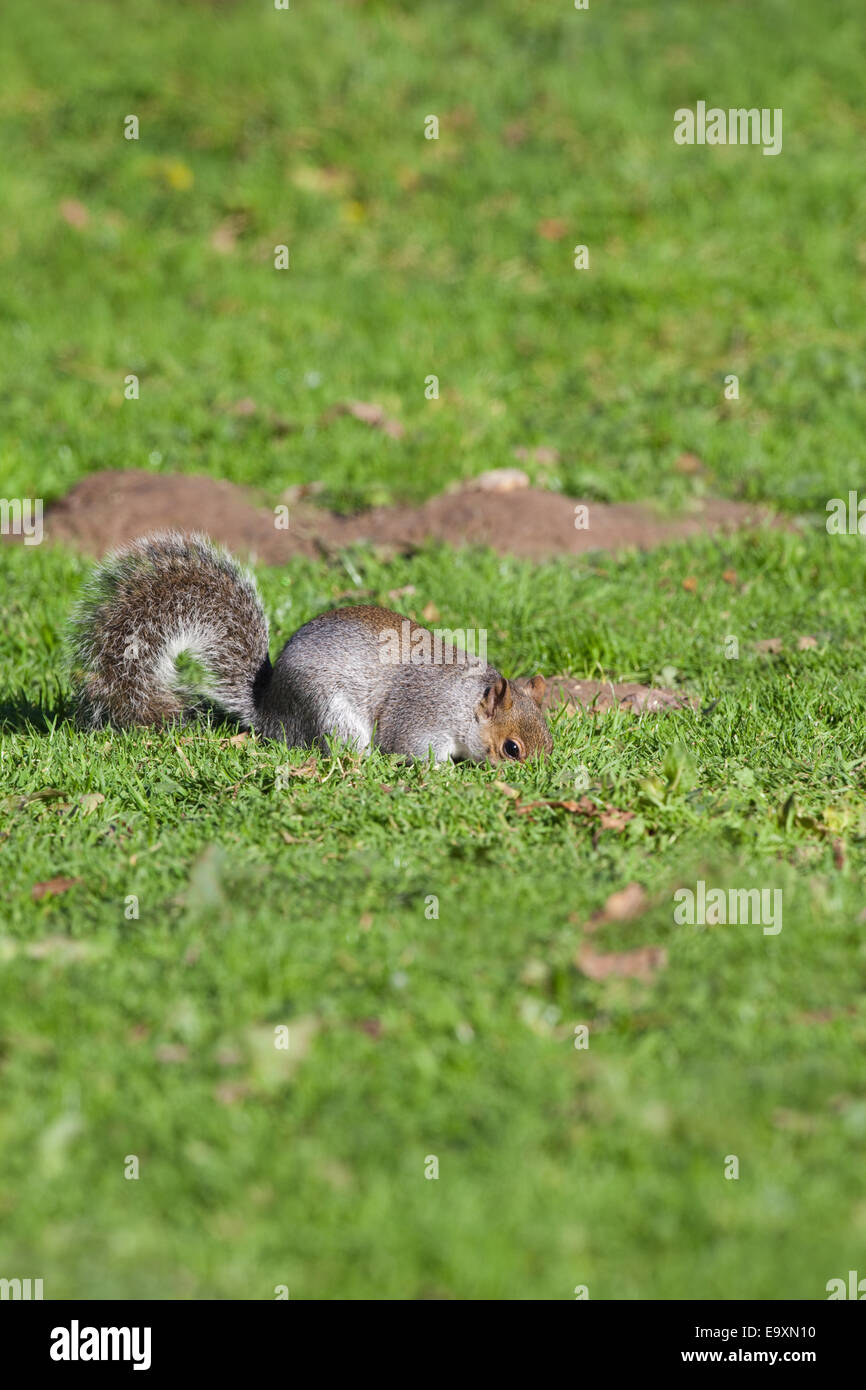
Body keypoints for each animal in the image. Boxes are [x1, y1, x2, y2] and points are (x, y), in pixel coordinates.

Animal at [69, 532, 553, 765]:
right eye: (512, 749)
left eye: (550, 741)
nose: (537, 780)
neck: (465, 702)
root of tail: (270, 711)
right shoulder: (421, 717)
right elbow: (409, 748)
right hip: (328, 710)